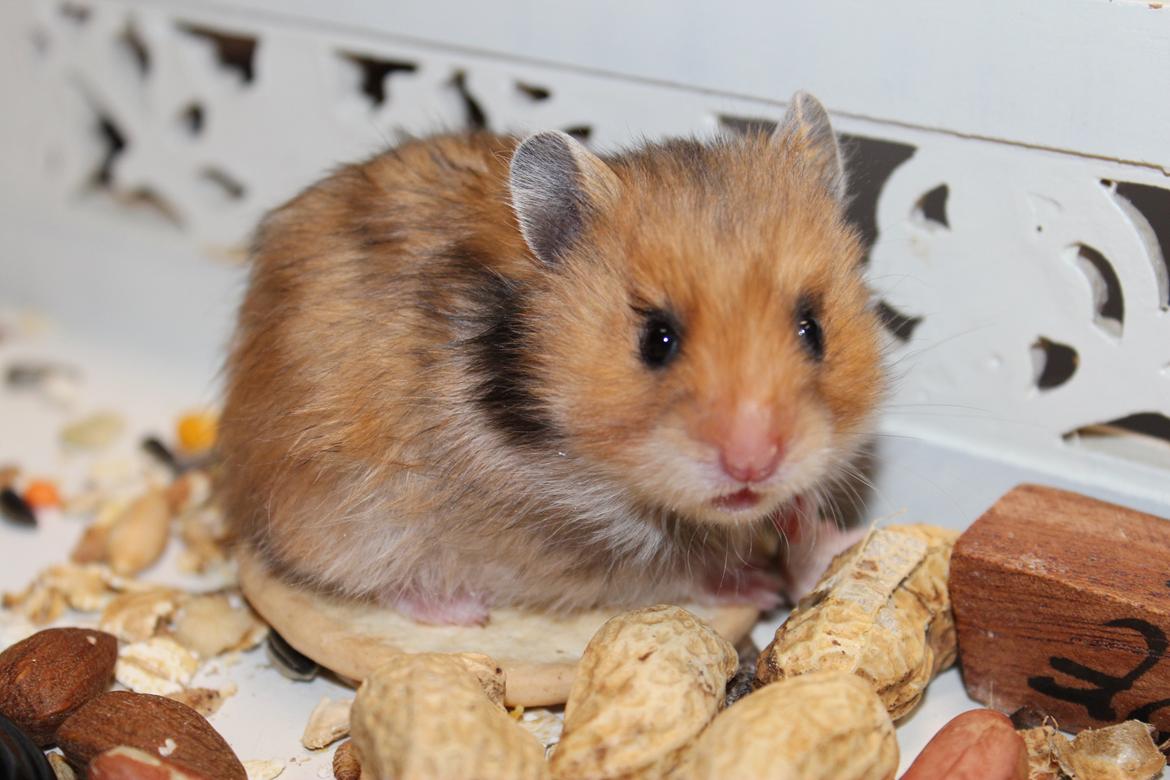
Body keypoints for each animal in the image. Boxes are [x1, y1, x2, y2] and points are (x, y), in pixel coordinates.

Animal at [217, 91, 883, 625]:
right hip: (341, 524)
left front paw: (821, 531)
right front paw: (763, 584)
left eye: (813, 330)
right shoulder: (593, 545)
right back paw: (461, 611)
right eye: (656, 340)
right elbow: (690, 567)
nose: (753, 465)